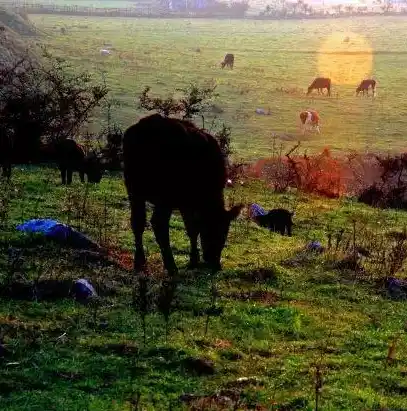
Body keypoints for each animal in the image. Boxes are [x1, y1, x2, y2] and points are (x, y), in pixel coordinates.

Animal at [122, 114, 244, 276]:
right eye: (221, 232)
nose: (215, 263)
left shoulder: (186, 203)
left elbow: (191, 228)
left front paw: (194, 259)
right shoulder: (187, 201)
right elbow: (194, 227)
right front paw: (193, 260)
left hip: (134, 189)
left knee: (137, 222)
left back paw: (139, 262)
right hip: (165, 195)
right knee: (158, 223)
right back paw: (171, 266)